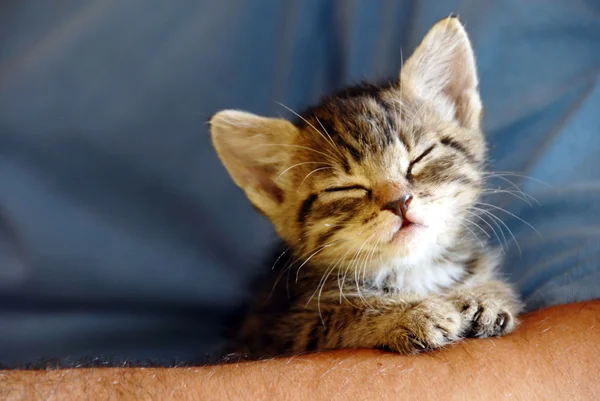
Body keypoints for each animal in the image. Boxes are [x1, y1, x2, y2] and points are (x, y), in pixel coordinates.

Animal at [210, 16, 520, 356]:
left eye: (420, 157)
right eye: (344, 188)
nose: (399, 202)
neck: (412, 269)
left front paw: (483, 294)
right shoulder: (284, 332)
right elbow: (346, 314)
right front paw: (411, 312)